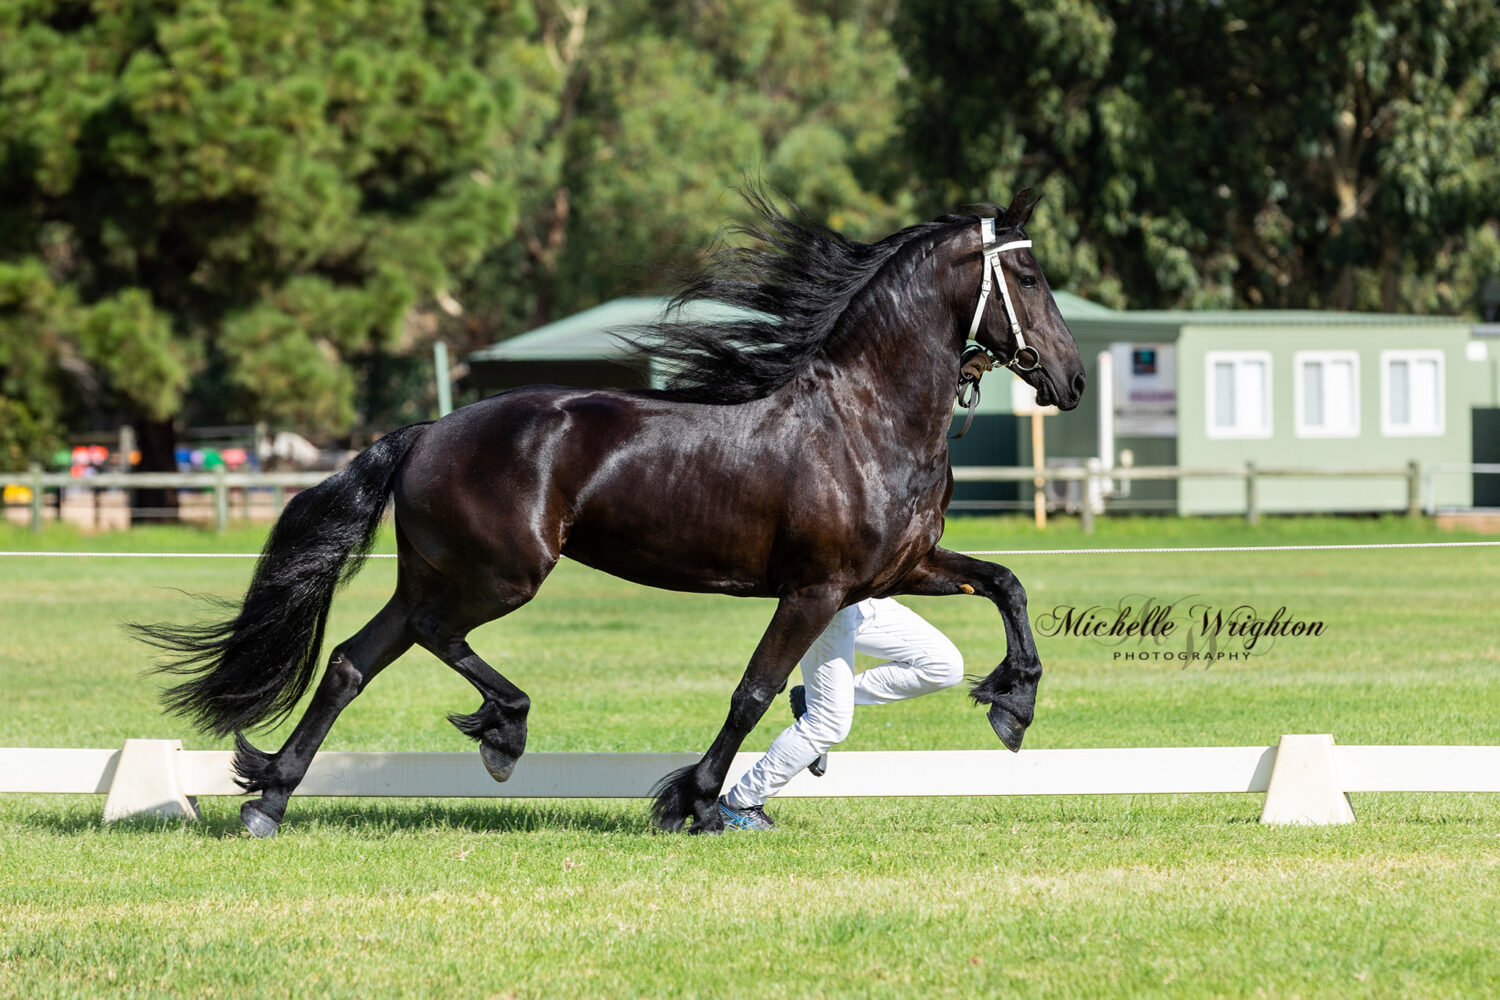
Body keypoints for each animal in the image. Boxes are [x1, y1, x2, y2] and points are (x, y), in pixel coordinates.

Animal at [135, 189, 1086, 839]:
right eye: (1028, 274)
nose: (1073, 380)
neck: (865, 418)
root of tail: (429, 429)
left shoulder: (900, 569)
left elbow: (1006, 582)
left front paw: (1012, 702)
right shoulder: (815, 590)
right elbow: (752, 691)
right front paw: (692, 799)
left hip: (436, 573)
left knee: (349, 662)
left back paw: (272, 795)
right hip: (501, 574)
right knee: (437, 637)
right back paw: (503, 730)